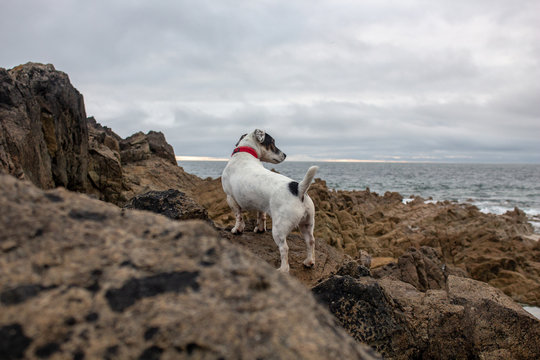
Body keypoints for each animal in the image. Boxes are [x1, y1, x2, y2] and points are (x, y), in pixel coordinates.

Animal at [221, 129, 318, 272]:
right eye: (272, 143)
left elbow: (238, 217)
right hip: (307, 223)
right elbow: (261, 216)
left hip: (278, 229)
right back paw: (309, 261)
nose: (285, 155)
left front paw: (237, 230)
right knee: (310, 241)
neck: (245, 153)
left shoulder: (230, 198)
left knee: (284, 248)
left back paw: (283, 269)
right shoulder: (260, 206)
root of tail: (298, 189)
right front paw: (260, 229)